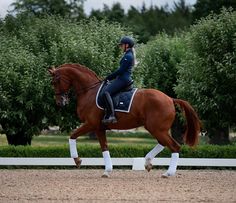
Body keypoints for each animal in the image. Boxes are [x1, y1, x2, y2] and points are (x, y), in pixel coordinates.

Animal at [48, 63, 200, 178]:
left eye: (55, 82)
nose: (60, 102)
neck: (89, 91)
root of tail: (170, 99)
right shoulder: (99, 128)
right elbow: (104, 147)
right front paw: (107, 171)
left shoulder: (92, 124)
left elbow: (72, 136)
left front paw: (77, 160)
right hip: (156, 128)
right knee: (164, 143)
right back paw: (148, 162)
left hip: (156, 128)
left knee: (174, 146)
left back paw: (167, 173)